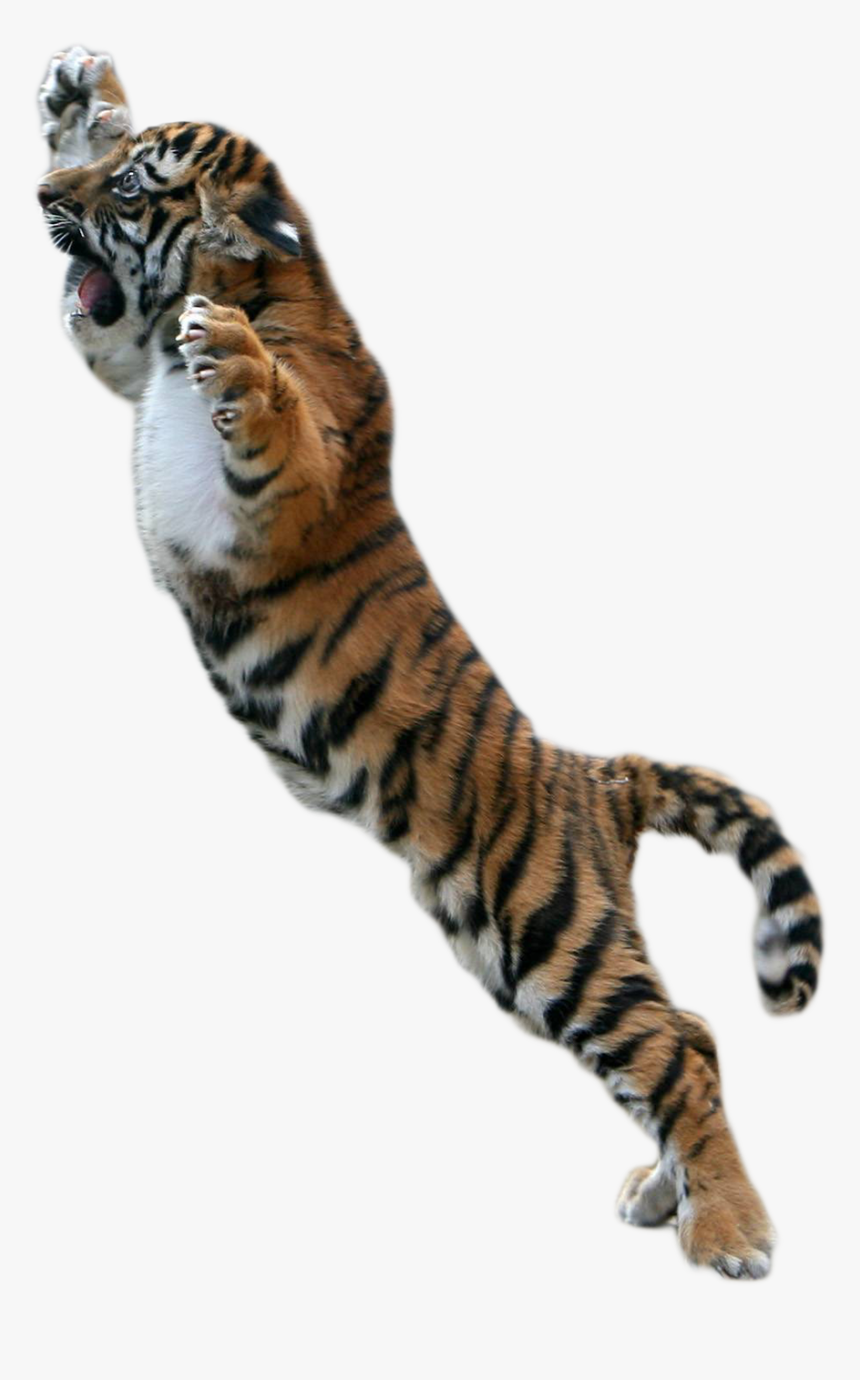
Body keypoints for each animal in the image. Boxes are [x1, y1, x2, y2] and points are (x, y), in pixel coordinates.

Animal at [38, 45, 822, 1280]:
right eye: (106, 165)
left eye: (129, 189)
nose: (41, 201)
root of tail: (593, 775)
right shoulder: (124, 358)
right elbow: (101, 330)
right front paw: (79, 89)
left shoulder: (286, 486)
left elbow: (272, 414)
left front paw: (237, 352)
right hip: (503, 951)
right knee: (685, 1034)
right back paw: (668, 1195)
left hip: (552, 930)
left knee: (671, 1048)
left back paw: (732, 1234)